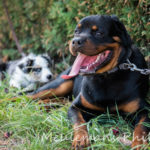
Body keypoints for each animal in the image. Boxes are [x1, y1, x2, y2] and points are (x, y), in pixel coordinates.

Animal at [28, 14, 149, 149]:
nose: (75, 41)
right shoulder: (76, 107)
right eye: (76, 31)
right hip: (59, 84)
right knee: (29, 95)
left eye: (99, 33)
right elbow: (79, 122)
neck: (106, 77)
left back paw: (44, 105)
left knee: (62, 100)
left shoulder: (144, 110)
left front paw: (140, 144)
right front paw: (80, 138)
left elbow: (141, 128)